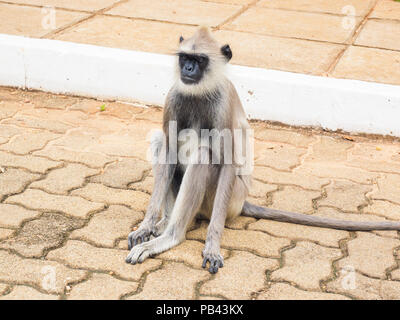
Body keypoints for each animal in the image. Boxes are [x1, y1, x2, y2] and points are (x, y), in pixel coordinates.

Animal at [126, 26, 400, 276]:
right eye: (185, 58)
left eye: (200, 60)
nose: (188, 69)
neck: (200, 93)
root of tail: (241, 202)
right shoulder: (174, 97)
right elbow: (169, 149)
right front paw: (146, 226)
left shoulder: (222, 104)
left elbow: (228, 162)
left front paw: (212, 247)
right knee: (160, 141)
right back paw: (164, 223)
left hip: (226, 199)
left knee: (204, 154)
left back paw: (172, 235)